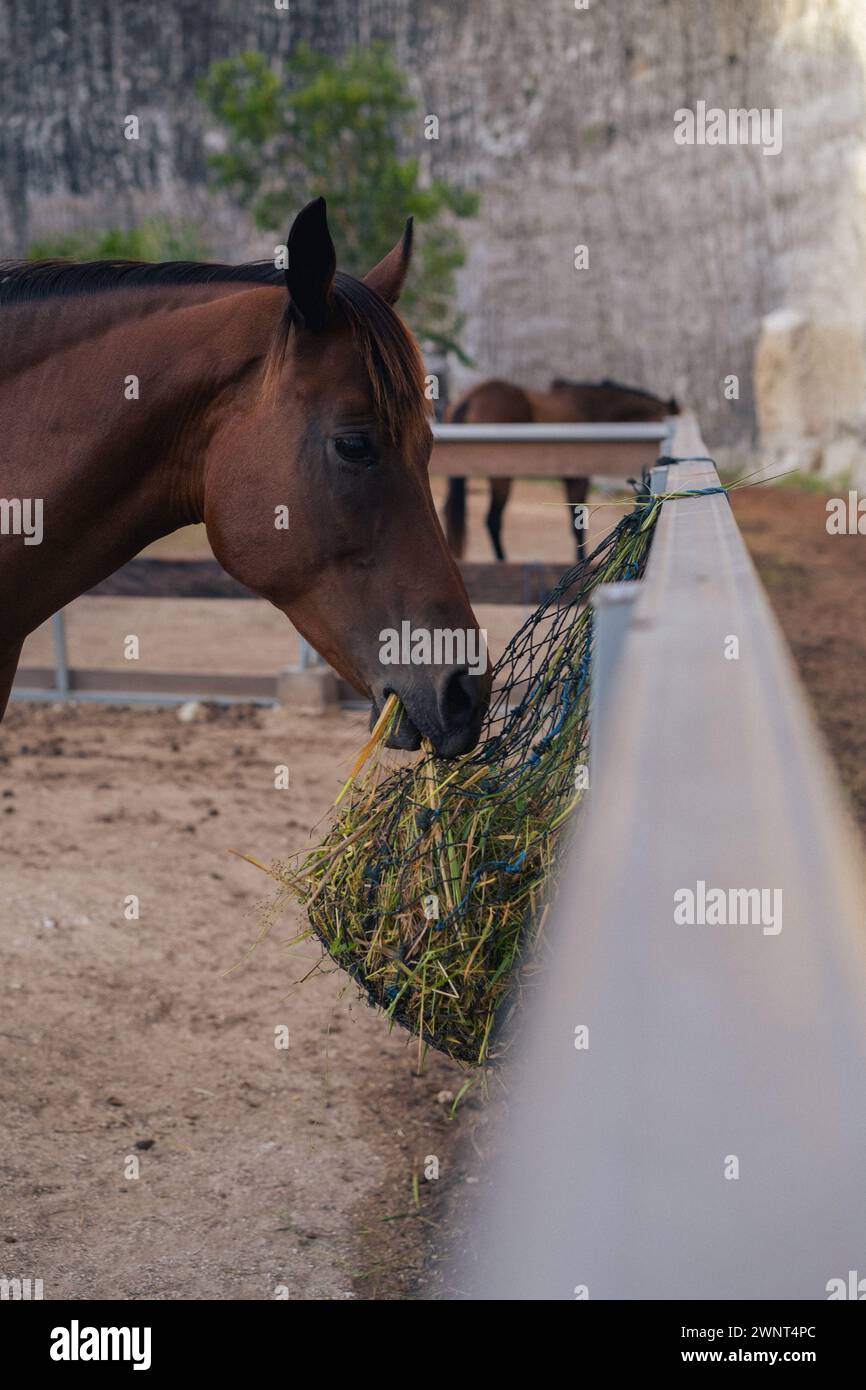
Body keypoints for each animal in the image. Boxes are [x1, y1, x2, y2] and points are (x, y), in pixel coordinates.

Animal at [447, 378, 678, 561]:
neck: (587, 408)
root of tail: (472, 397)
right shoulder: (578, 478)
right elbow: (577, 525)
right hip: (501, 478)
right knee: (493, 520)